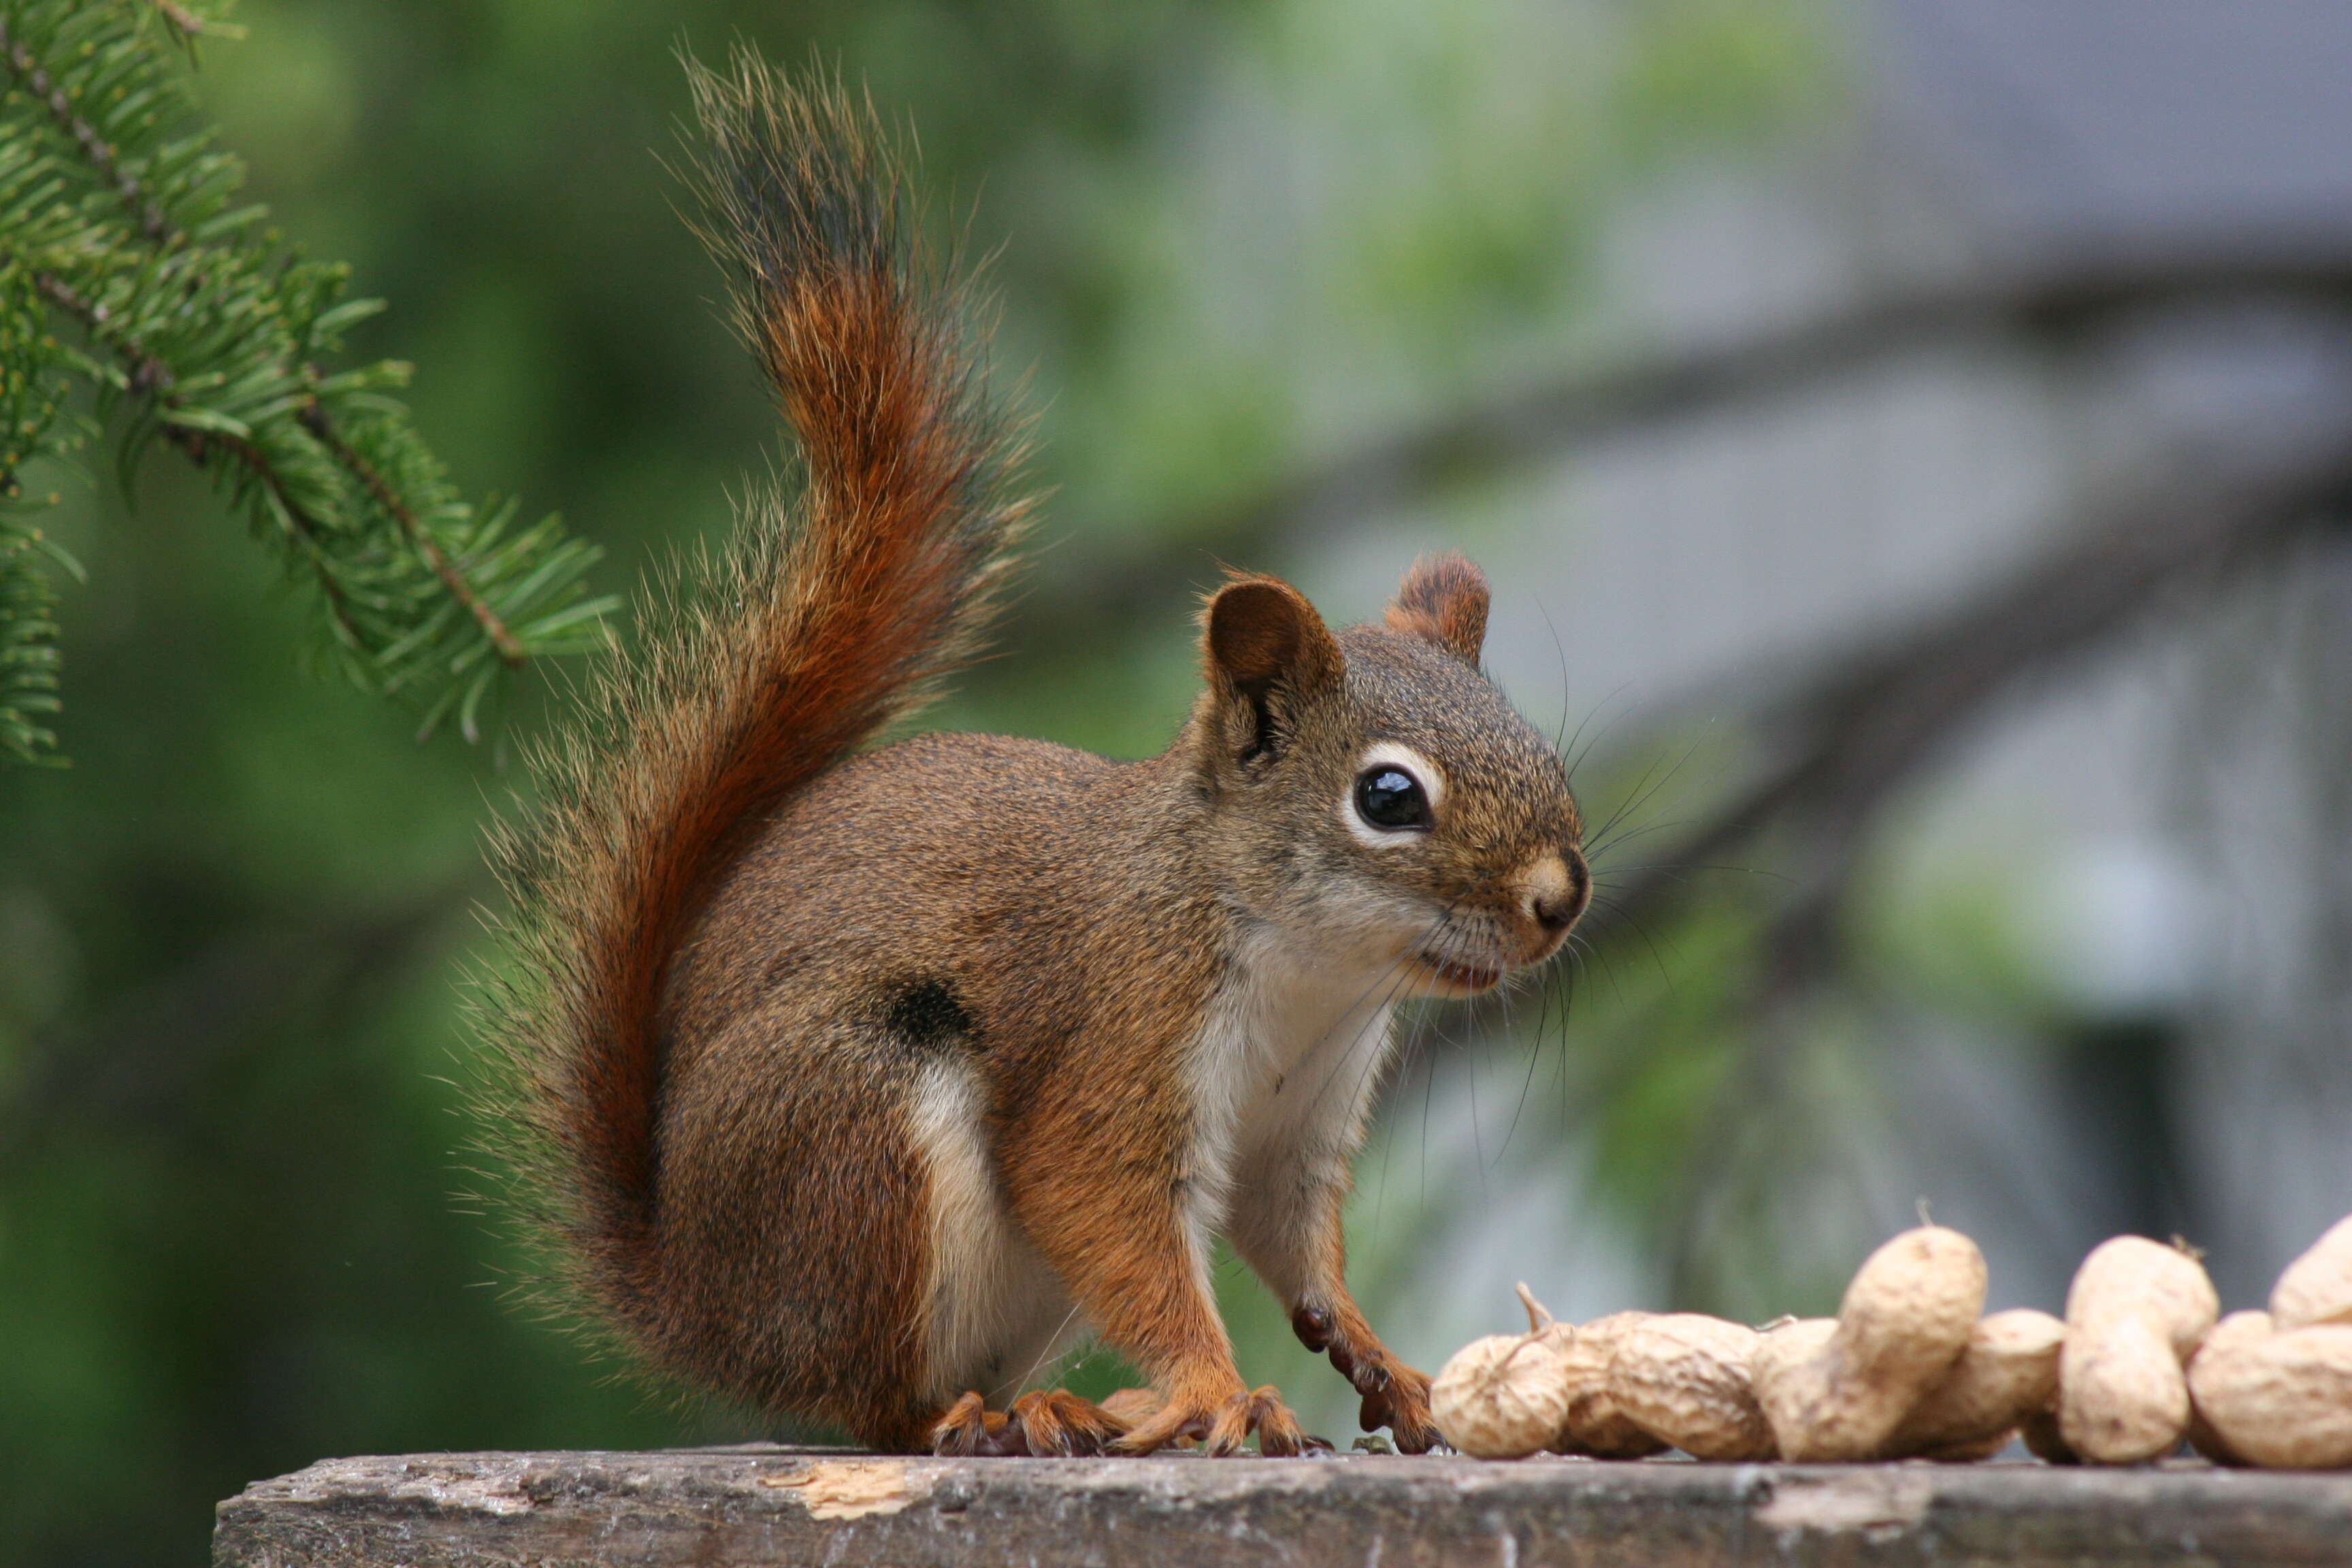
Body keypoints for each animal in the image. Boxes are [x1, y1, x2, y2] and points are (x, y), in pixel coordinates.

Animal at [480, 52, 1590, 1457]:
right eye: (1389, 795)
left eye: (1536, 742)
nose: (1561, 898)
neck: (1309, 972)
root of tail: (700, 1298)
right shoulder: (1115, 1035)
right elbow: (1105, 1204)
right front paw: (1216, 1391)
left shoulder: (1298, 1125)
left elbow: (1301, 1263)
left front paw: (1401, 1375)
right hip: (856, 1132)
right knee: (875, 1401)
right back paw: (981, 1419)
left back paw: (1052, 1404)